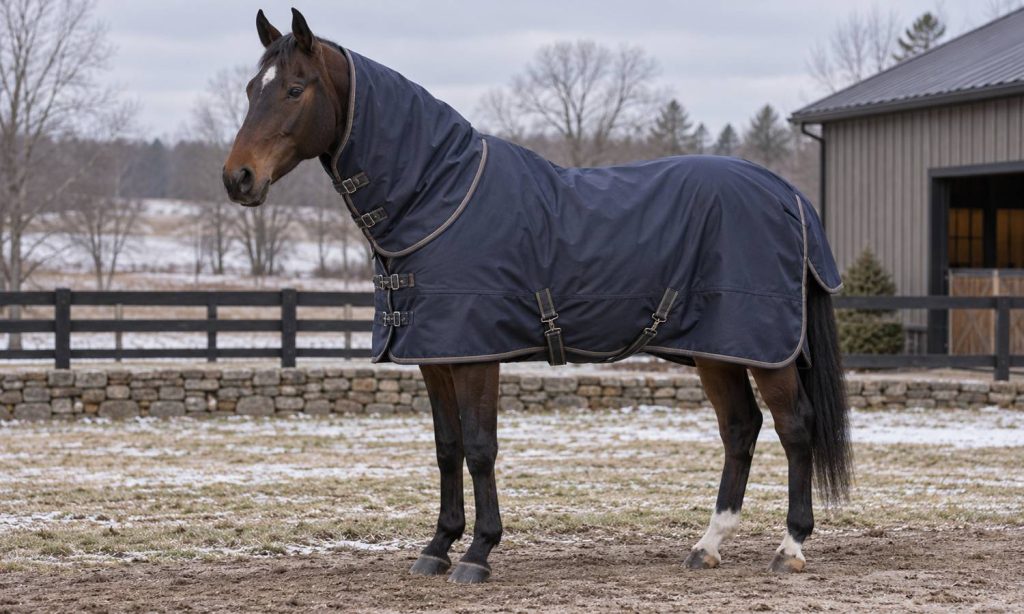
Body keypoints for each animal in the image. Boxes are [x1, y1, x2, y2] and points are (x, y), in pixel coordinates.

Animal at [223, 8, 851, 584]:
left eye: (295, 88)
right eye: (253, 88)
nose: (238, 178)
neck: (439, 197)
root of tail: (787, 193)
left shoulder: (476, 355)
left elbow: (480, 447)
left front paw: (478, 553)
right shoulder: (434, 356)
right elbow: (447, 446)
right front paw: (438, 546)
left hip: (764, 351)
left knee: (795, 427)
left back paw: (791, 546)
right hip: (718, 351)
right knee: (740, 429)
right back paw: (708, 545)